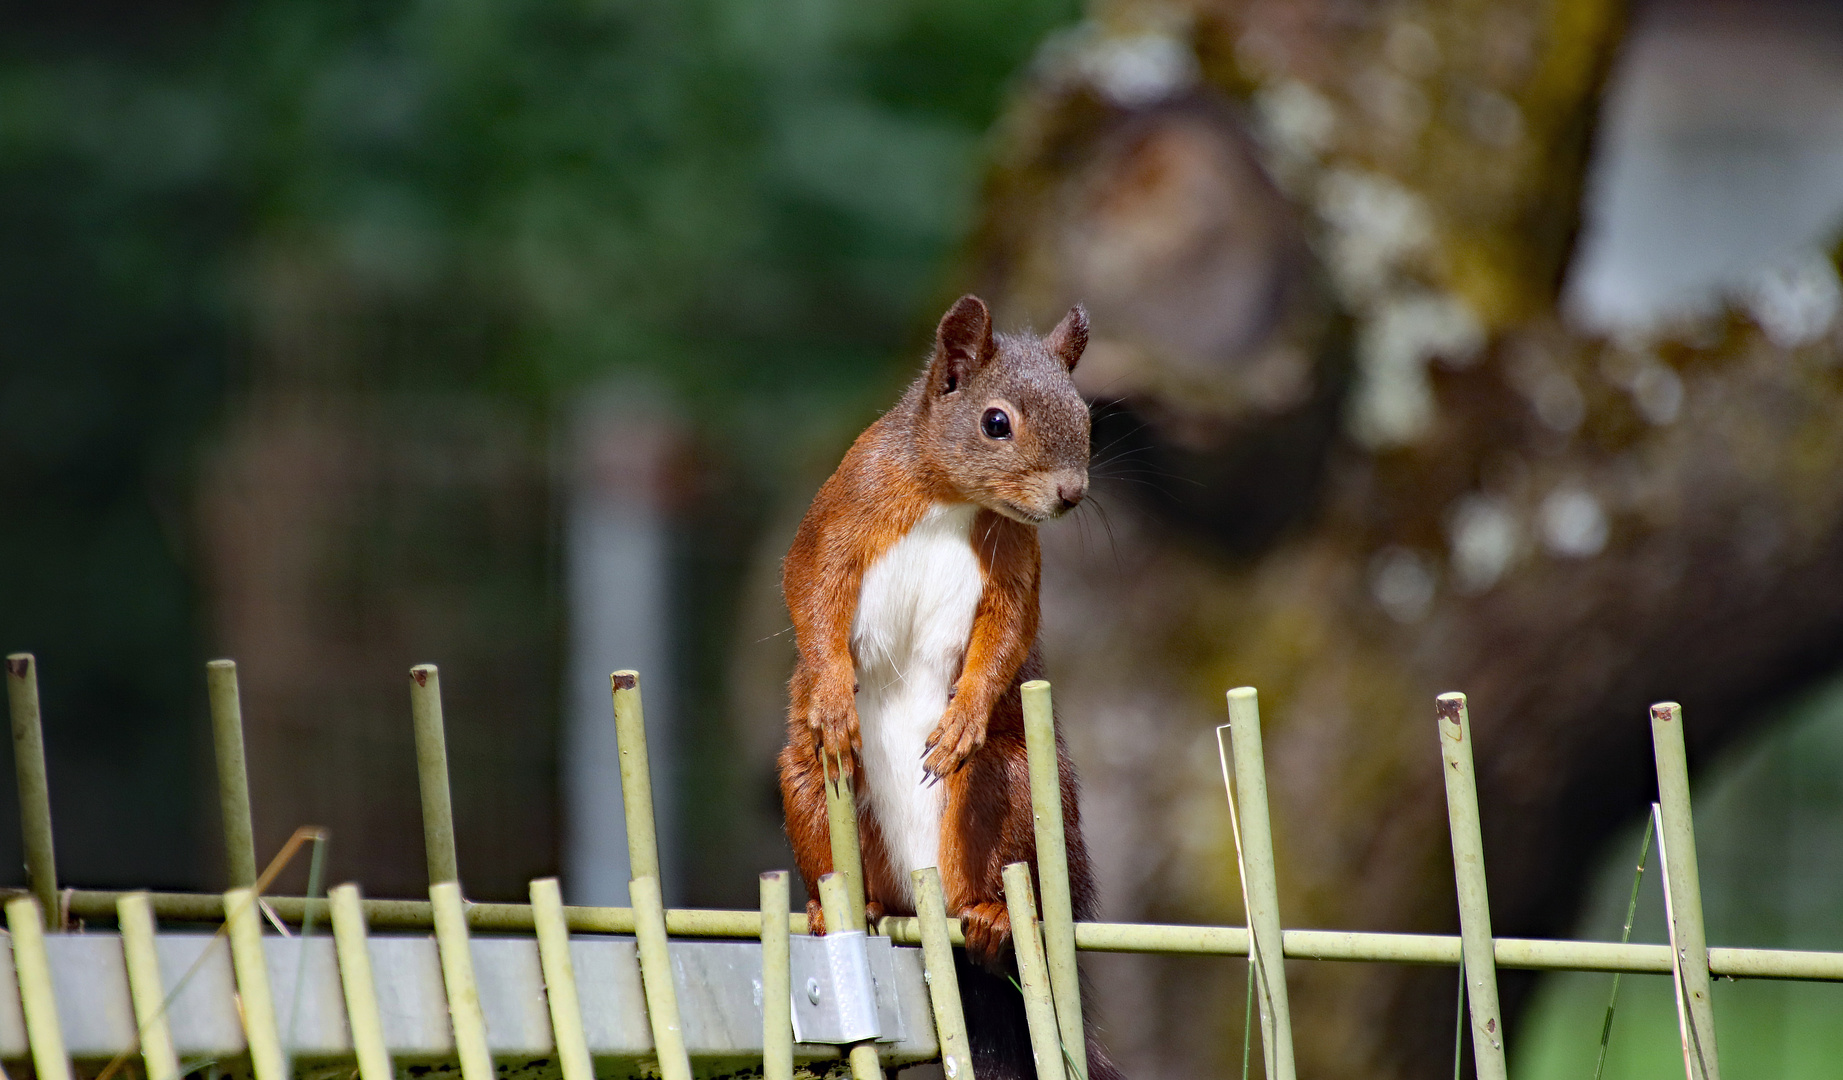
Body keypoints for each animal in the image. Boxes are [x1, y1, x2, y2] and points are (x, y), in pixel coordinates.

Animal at [777, 294, 1120, 1076]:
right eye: (996, 422)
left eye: (1085, 417)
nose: (1070, 494)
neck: (950, 500)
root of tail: (920, 898)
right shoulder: (845, 507)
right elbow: (809, 589)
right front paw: (832, 698)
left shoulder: (1015, 566)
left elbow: (1006, 637)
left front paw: (962, 717)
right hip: (810, 789)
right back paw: (834, 909)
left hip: (1012, 785)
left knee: (999, 888)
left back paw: (991, 917)